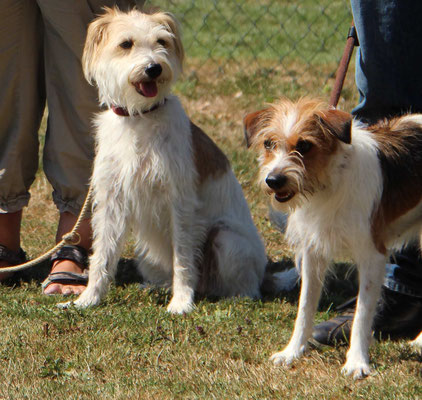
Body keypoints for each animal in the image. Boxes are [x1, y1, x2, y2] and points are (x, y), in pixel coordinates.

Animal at [59, 7, 272, 316]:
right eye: (126, 44)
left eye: (162, 41)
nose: (154, 68)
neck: (140, 118)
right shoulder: (111, 202)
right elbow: (102, 257)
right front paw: (87, 299)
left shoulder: (180, 203)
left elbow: (182, 258)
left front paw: (181, 303)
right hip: (146, 252)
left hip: (226, 238)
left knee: (245, 287)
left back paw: (234, 296)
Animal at [244, 98, 422, 380]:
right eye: (269, 143)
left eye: (304, 145)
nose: (273, 180)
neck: (329, 183)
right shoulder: (313, 252)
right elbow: (305, 306)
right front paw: (293, 351)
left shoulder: (372, 255)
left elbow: (362, 313)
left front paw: (357, 362)